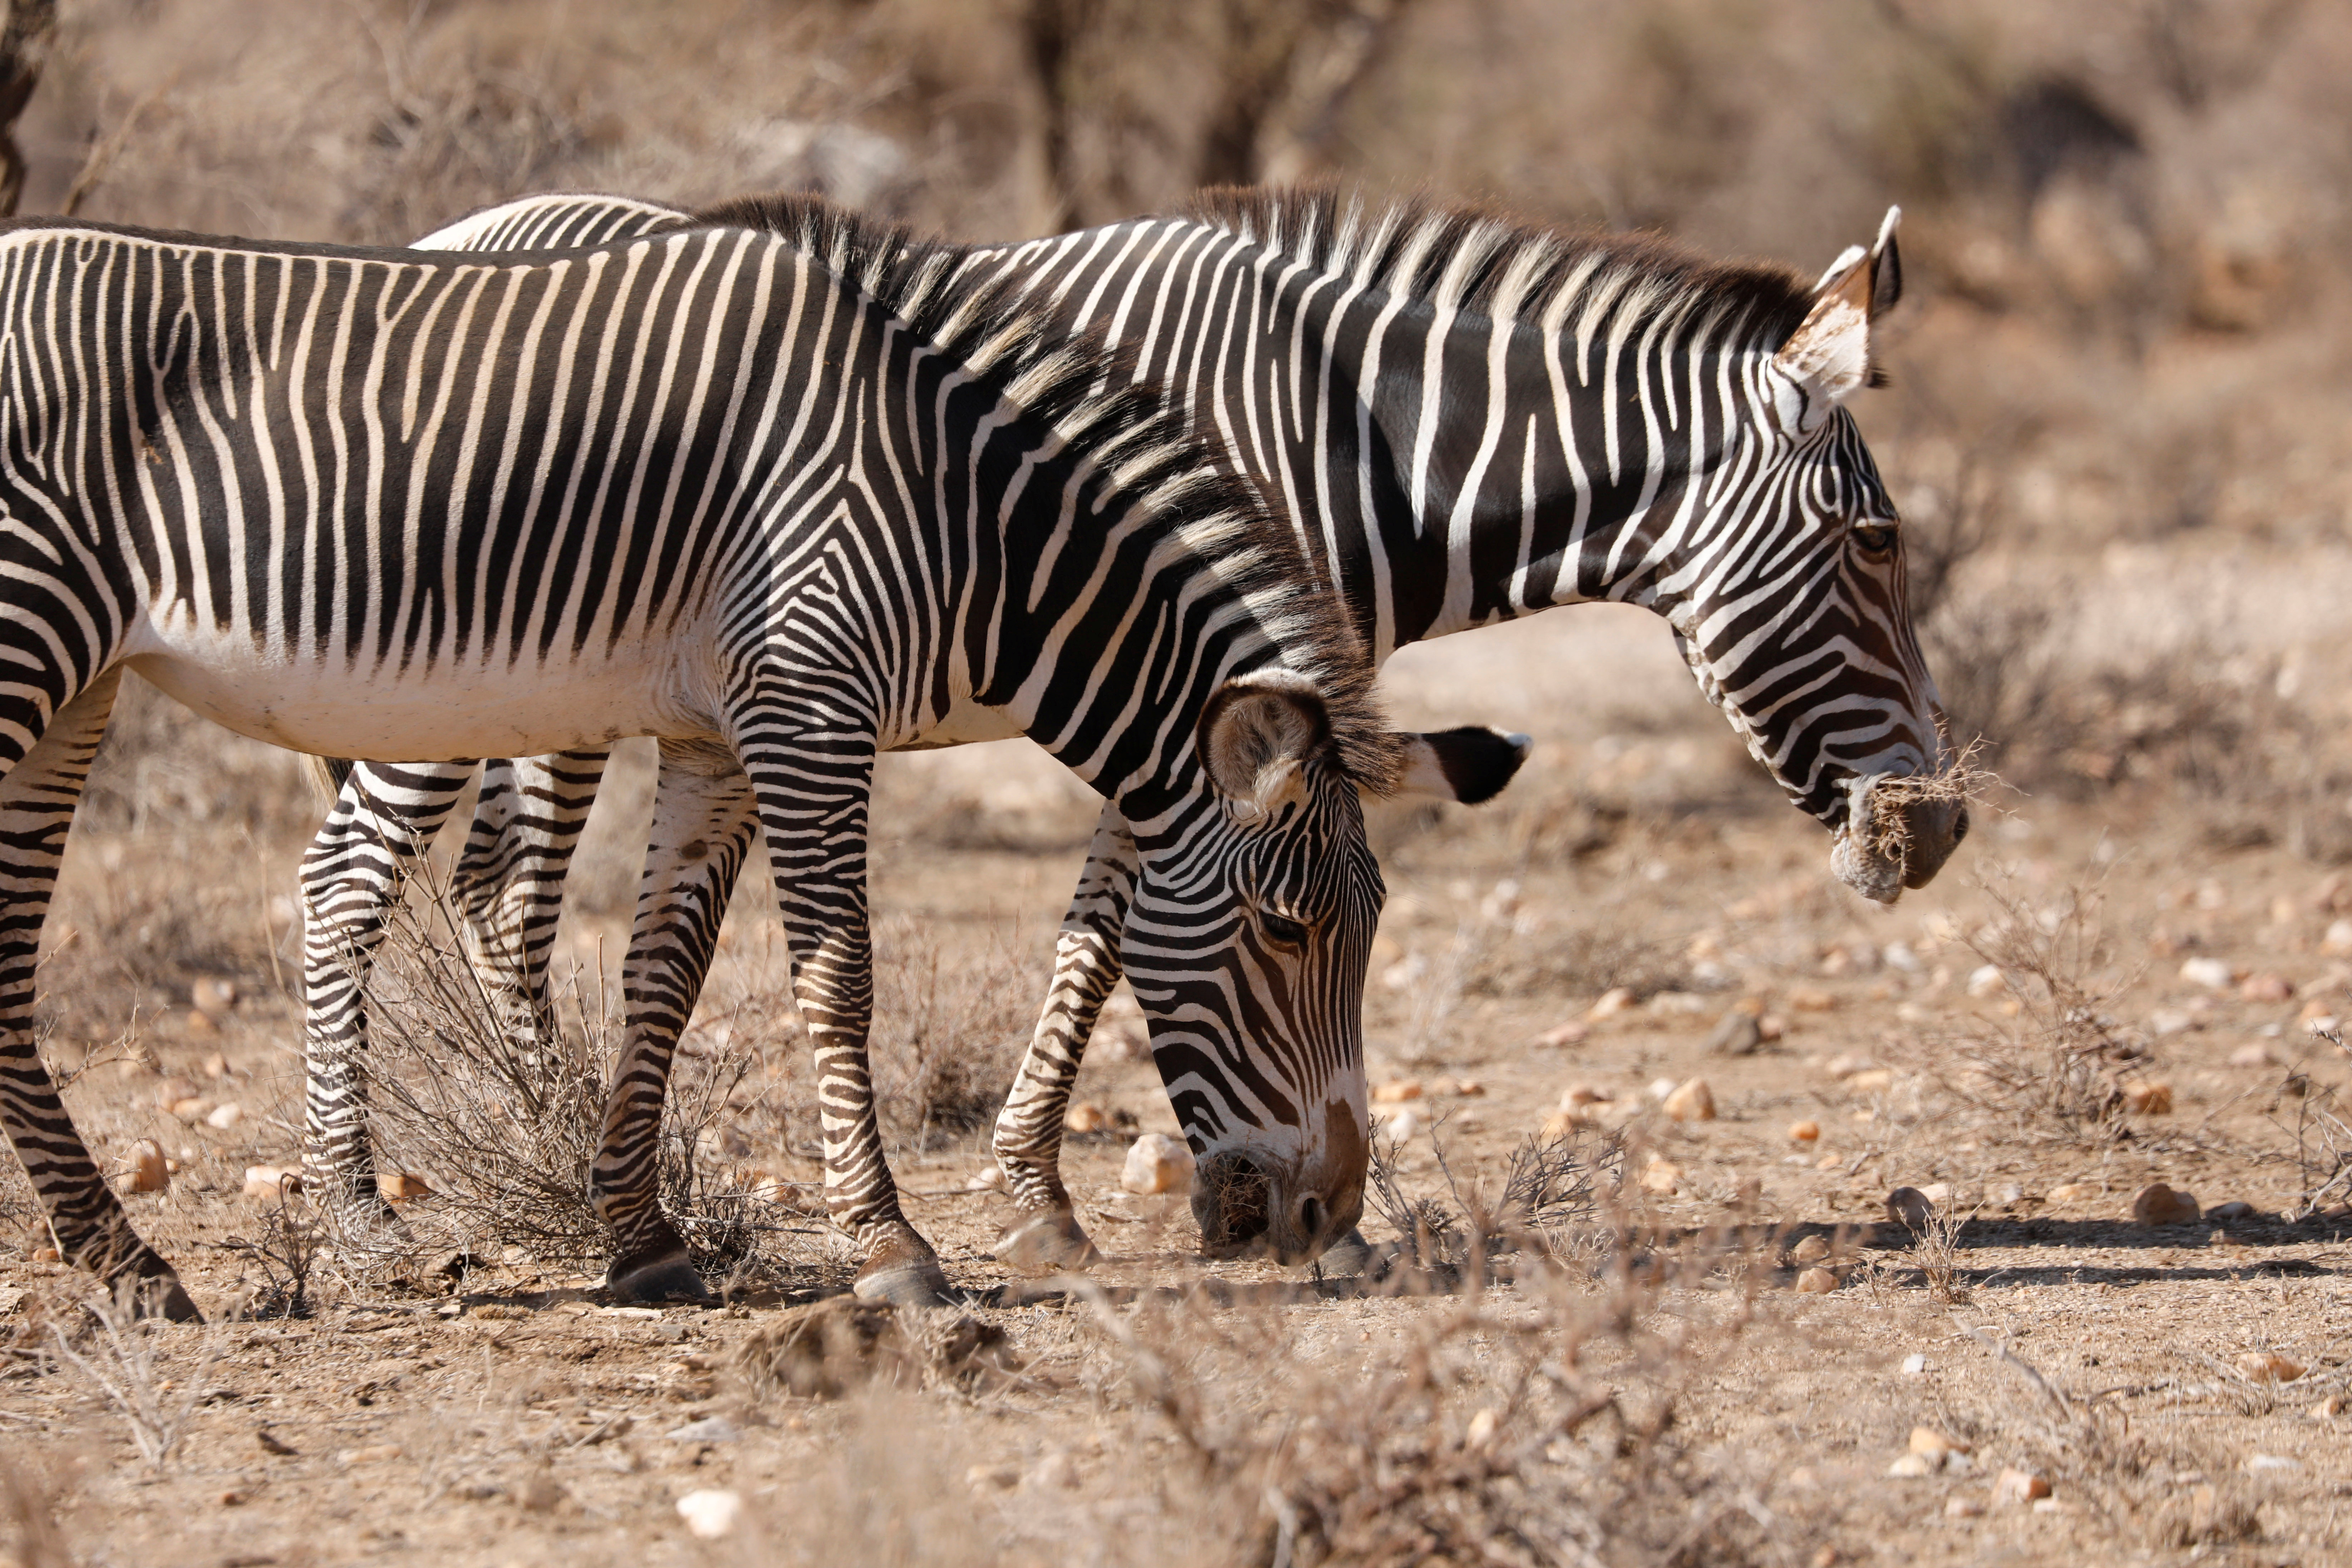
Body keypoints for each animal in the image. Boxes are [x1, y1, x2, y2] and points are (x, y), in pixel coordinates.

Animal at [0, 202, 1496, 1316]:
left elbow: (664, 971)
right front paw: (889, 1245)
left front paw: (641, 1235)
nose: (1329, 1212)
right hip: (37, 641)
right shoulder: (807, 704)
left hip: (78, 686)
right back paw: (326, 1230)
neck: (956, 511)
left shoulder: (714, 735)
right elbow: (838, 979)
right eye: (1289, 927)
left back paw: (132, 1257)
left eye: (1367, 923)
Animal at [294, 187, 1957, 1279]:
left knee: (496, 896)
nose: (1937, 826)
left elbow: (1104, 923)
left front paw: (1048, 1185)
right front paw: (1058, 1196)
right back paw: (441, 1179)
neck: (1356, 434)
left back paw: (559, 1131)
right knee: (386, 882)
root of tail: (453, 233)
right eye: (1877, 544)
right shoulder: (1196, 685)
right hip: (454, 669)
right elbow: (1111, 931)